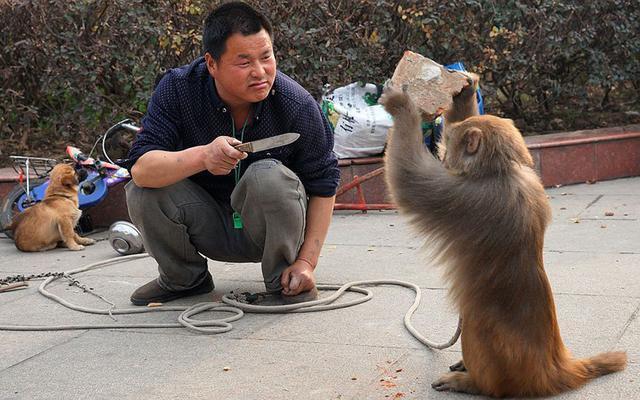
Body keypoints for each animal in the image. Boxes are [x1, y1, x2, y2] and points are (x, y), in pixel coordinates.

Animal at [378, 76, 628, 396]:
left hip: (494, 351)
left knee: (476, 337)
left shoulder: (464, 197)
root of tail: (556, 368)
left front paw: (401, 104)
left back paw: (471, 382)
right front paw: (465, 91)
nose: (446, 160)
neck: (501, 171)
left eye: (449, 150)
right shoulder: (531, 182)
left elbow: (408, 179)